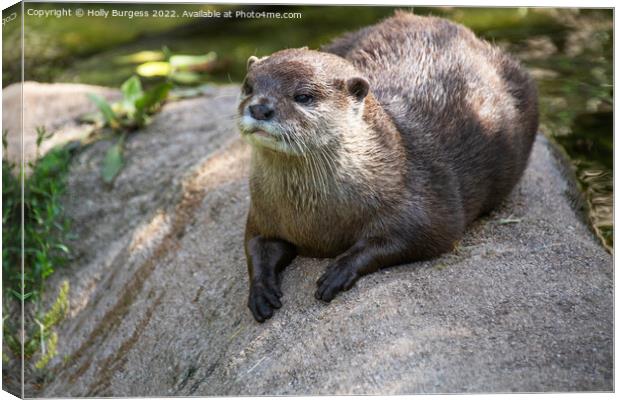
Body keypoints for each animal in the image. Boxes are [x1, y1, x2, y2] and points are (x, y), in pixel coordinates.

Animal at [237, 10, 536, 322]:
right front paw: (261, 290)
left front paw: (340, 270)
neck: (313, 218)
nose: (260, 107)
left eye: (303, 96)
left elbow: (422, 236)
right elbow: (255, 243)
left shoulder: (427, 202)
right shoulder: (262, 211)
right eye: (248, 87)